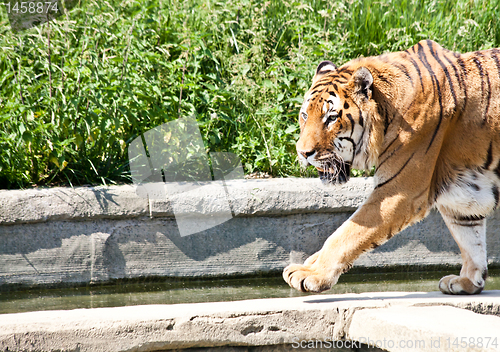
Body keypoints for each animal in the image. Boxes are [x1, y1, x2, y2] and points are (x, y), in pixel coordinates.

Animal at [284, 39, 500, 294]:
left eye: (331, 118)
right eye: (305, 115)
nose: (303, 153)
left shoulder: (397, 193)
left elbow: (346, 234)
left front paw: (312, 274)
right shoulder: (463, 195)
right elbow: (470, 238)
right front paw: (467, 281)